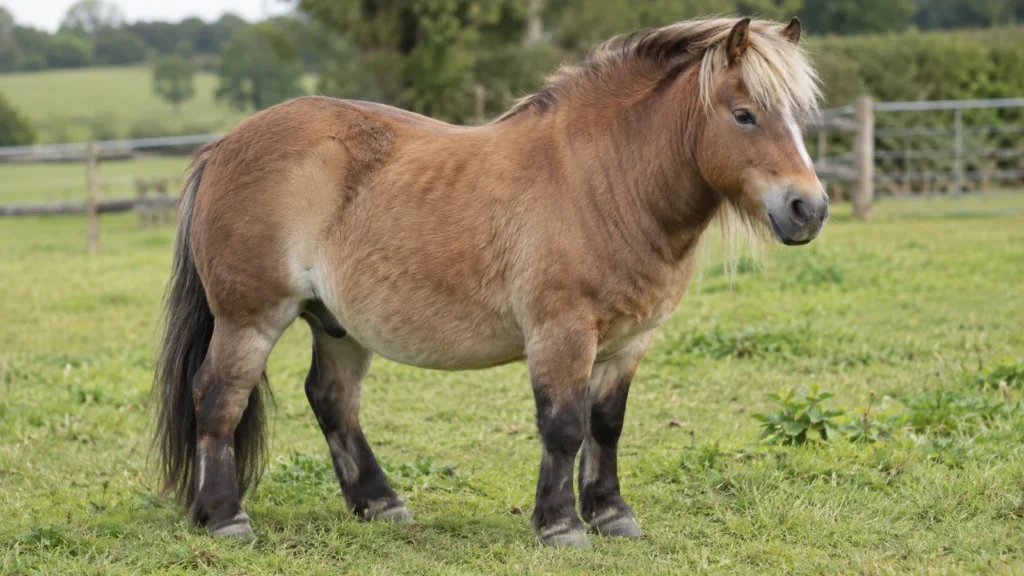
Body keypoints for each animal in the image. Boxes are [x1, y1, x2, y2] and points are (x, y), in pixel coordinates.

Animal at [153, 16, 827, 548]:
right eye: (744, 115)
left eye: (799, 118)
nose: (809, 209)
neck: (604, 180)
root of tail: (222, 145)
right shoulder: (561, 334)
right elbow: (564, 426)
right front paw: (560, 526)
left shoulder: (629, 342)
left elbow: (606, 427)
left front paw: (612, 516)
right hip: (251, 319)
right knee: (218, 397)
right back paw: (226, 518)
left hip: (337, 325)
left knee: (332, 401)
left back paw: (380, 504)